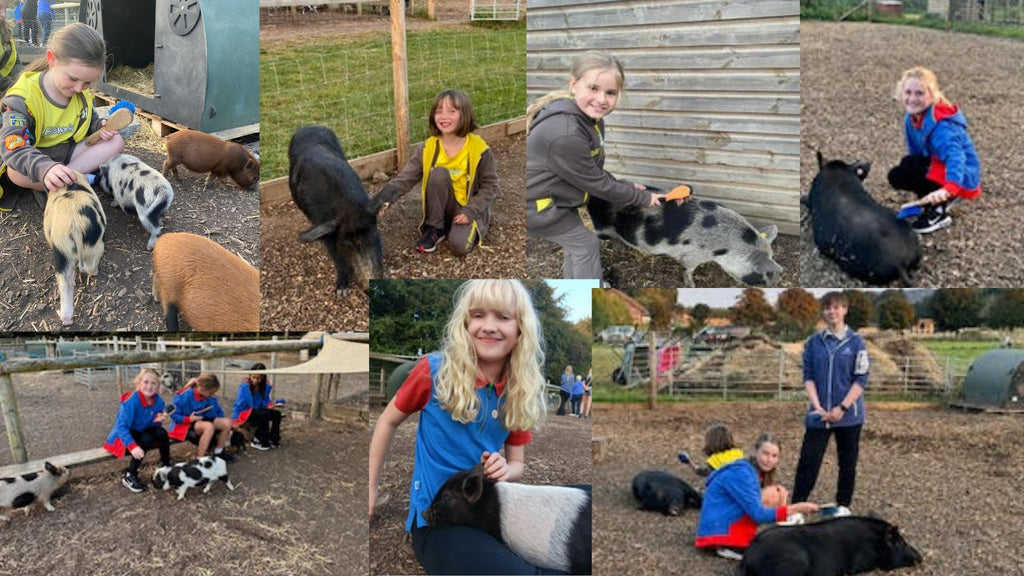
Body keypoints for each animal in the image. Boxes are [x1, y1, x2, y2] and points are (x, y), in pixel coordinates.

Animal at [288, 123, 387, 293]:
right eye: (347, 244)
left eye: (373, 236)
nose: (369, 286)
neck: (346, 210)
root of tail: (309, 125)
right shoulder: (324, 226)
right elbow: (337, 257)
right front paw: (342, 291)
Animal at [589, 194, 778, 286]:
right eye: (765, 273)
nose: (776, 281)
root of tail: (593, 198)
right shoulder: (693, 256)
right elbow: (688, 269)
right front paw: (692, 285)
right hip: (601, 228)